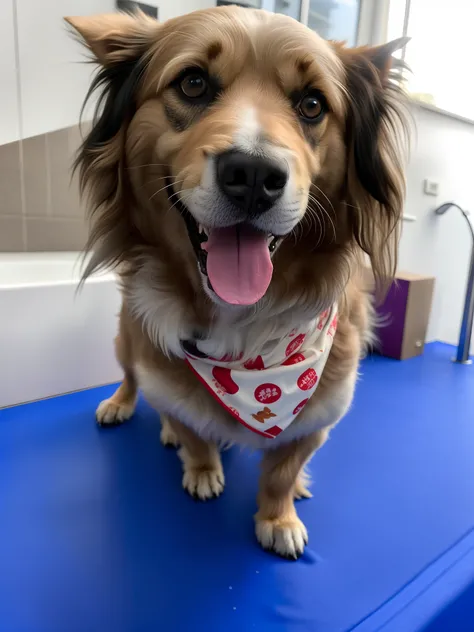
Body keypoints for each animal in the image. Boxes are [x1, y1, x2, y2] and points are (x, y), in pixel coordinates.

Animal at [65, 4, 408, 556]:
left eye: (312, 104)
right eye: (193, 83)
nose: (252, 175)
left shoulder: (321, 413)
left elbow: (282, 471)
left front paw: (279, 516)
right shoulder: (166, 375)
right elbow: (194, 430)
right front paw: (202, 468)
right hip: (126, 339)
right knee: (130, 380)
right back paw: (123, 408)